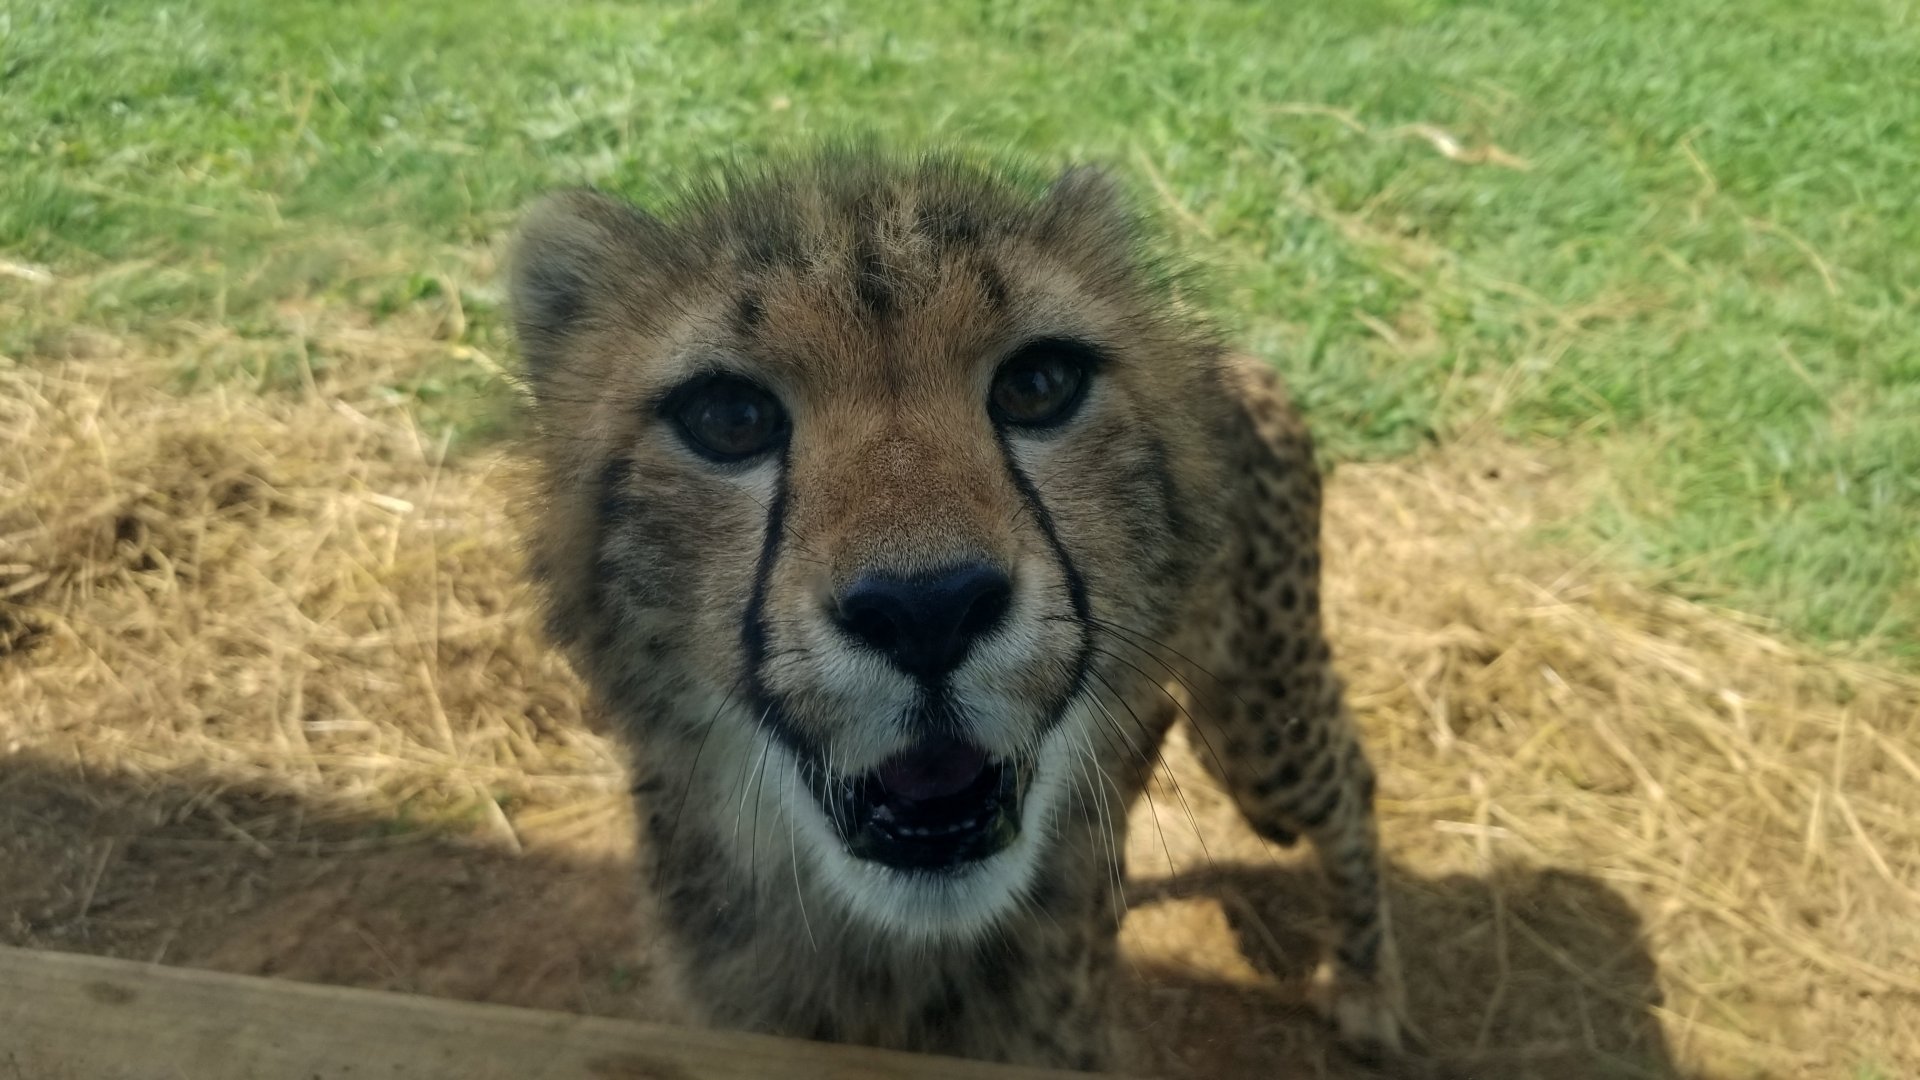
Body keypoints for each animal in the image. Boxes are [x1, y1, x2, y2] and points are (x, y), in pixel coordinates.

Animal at [506, 149, 1403, 1072]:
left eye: (1038, 385)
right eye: (729, 416)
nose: (927, 610)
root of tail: (1230, 357)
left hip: (1260, 720)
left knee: (1344, 778)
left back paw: (1369, 990)